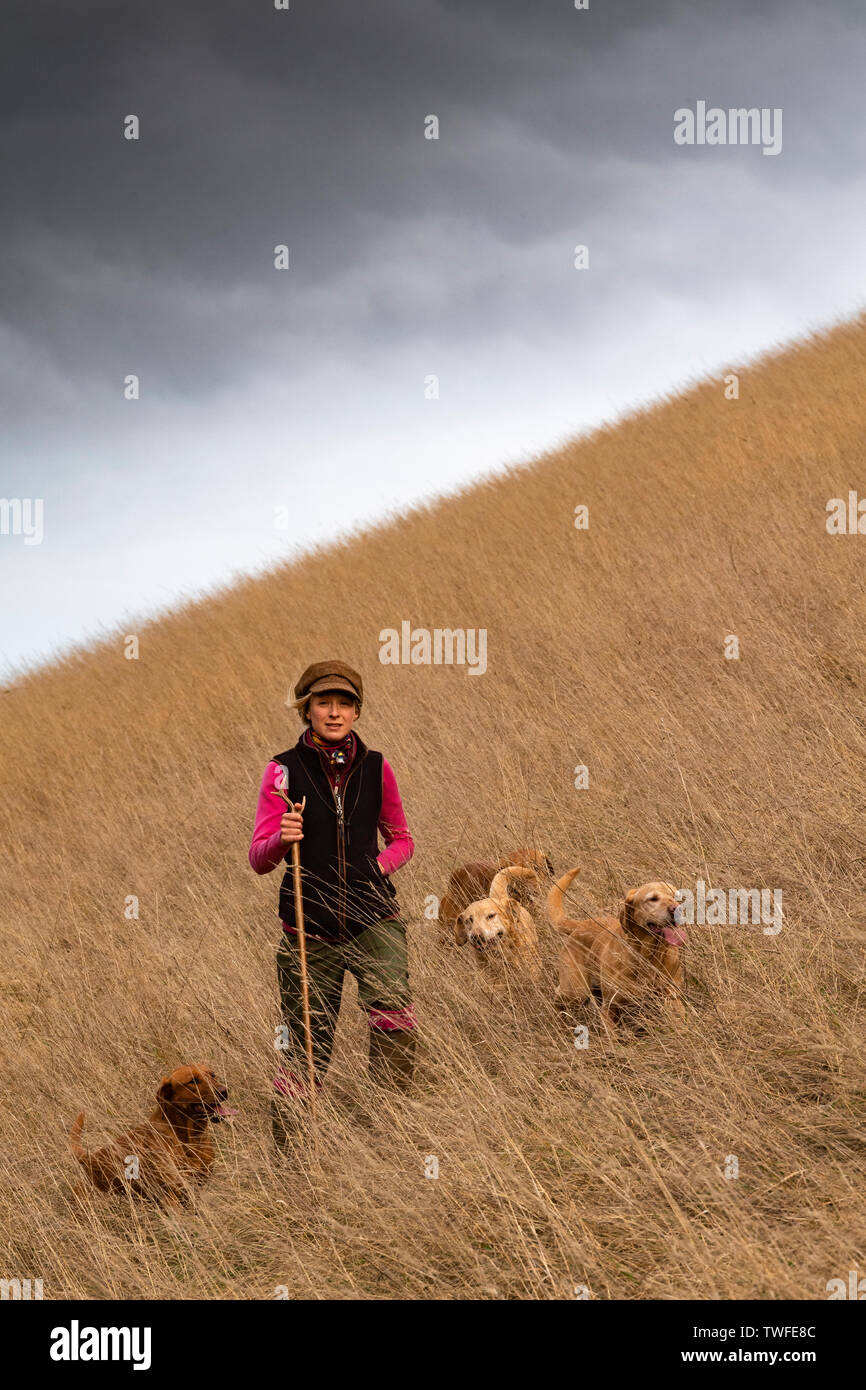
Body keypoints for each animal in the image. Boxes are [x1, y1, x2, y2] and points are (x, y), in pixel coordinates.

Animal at [68, 1061, 232, 1206]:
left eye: (212, 1075)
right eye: (193, 1081)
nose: (224, 1092)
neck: (187, 1137)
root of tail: (90, 1158)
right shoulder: (170, 1195)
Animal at [553, 867, 686, 1034]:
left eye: (676, 897)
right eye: (653, 899)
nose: (677, 909)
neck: (648, 955)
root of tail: (580, 925)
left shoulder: (672, 998)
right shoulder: (610, 1007)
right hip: (575, 990)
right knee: (558, 996)